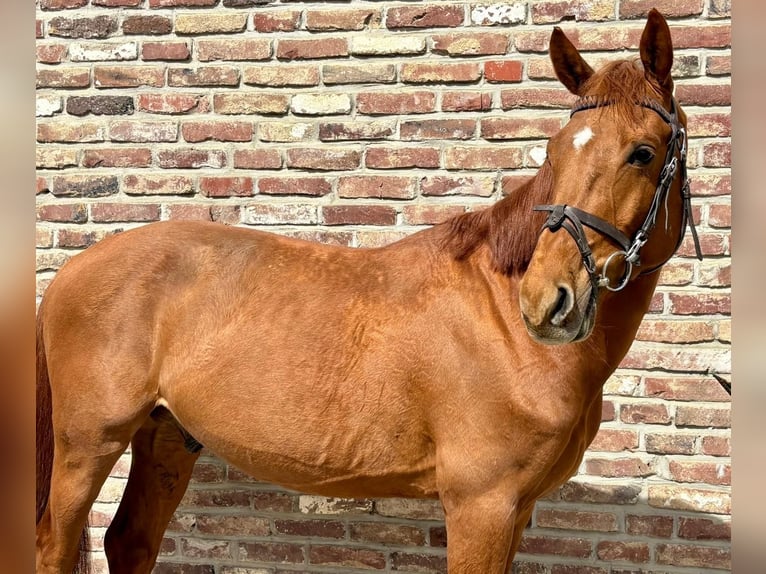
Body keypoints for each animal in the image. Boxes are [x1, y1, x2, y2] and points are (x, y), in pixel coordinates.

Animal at [36, 9, 701, 574]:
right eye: (555, 152)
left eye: (643, 153)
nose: (547, 301)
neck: (503, 325)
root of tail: (71, 271)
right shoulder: (482, 506)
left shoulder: (517, 509)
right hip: (87, 445)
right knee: (55, 542)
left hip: (167, 437)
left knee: (130, 542)